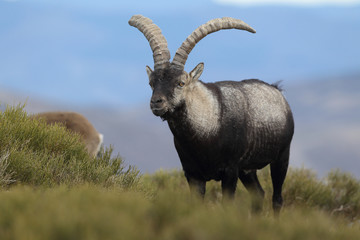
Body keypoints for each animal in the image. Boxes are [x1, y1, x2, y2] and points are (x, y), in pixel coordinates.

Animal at [128, 15, 294, 214]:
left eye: (181, 83)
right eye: (151, 82)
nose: (156, 103)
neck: (208, 126)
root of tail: (278, 92)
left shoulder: (230, 171)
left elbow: (227, 204)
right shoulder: (193, 174)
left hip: (281, 157)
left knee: (277, 198)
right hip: (247, 170)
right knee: (258, 194)